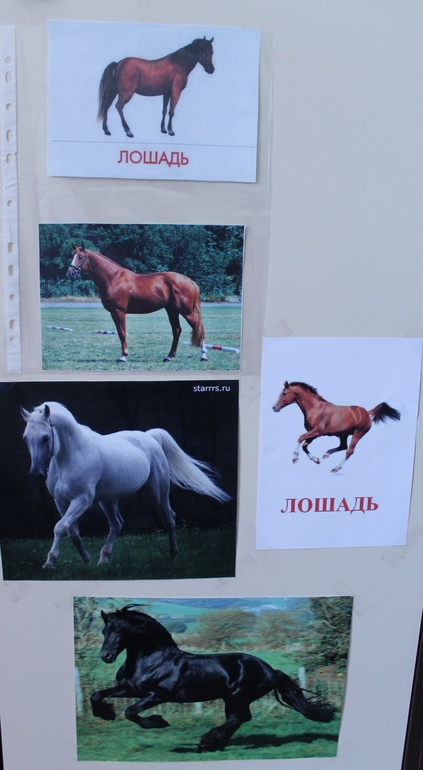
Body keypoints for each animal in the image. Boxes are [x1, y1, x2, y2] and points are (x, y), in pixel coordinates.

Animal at [21, 402, 230, 569]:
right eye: (25, 438)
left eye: (46, 437)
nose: (36, 474)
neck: (71, 455)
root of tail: (149, 437)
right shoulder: (61, 502)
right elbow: (71, 532)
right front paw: (86, 559)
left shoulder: (82, 500)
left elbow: (60, 527)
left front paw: (50, 562)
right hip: (107, 500)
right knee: (116, 523)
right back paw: (103, 559)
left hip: (157, 493)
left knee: (169, 518)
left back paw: (173, 553)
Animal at [67, 243, 208, 363]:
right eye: (72, 256)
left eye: (80, 257)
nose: (70, 273)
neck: (113, 279)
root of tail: (190, 281)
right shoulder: (115, 313)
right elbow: (120, 332)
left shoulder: (119, 312)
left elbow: (122, 333)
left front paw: (123, 356)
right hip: (172, 311)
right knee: (177, 330)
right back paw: (168, 356)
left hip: (186, 312)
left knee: (198, 328)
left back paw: (203, 356)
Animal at [90, 605, 335, 753]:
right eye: (104, 631)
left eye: (120, 630)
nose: (106, 656)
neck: (153, 659)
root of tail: (271, 670)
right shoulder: (128, 689)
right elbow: (96, 695)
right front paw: (106, 714)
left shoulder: (157, 695)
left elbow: (130, 712)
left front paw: (159, 722)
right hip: (232, 698)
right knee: (238, 719)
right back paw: (214, 744)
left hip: (238, 696)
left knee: (239, 718)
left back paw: (208, 741)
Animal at [272, 381, 401, 473]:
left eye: (284, 393)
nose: (274, 407)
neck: (315, 408)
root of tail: (366, 412)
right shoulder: (313, 433)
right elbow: (304, 445)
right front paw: (317, 460)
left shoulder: (317, 432)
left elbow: (300, 438)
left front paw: (295, 458)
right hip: (343, 435)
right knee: (343, 446)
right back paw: (326, 454)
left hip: (358, 434)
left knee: (349, 451)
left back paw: (335, 468)